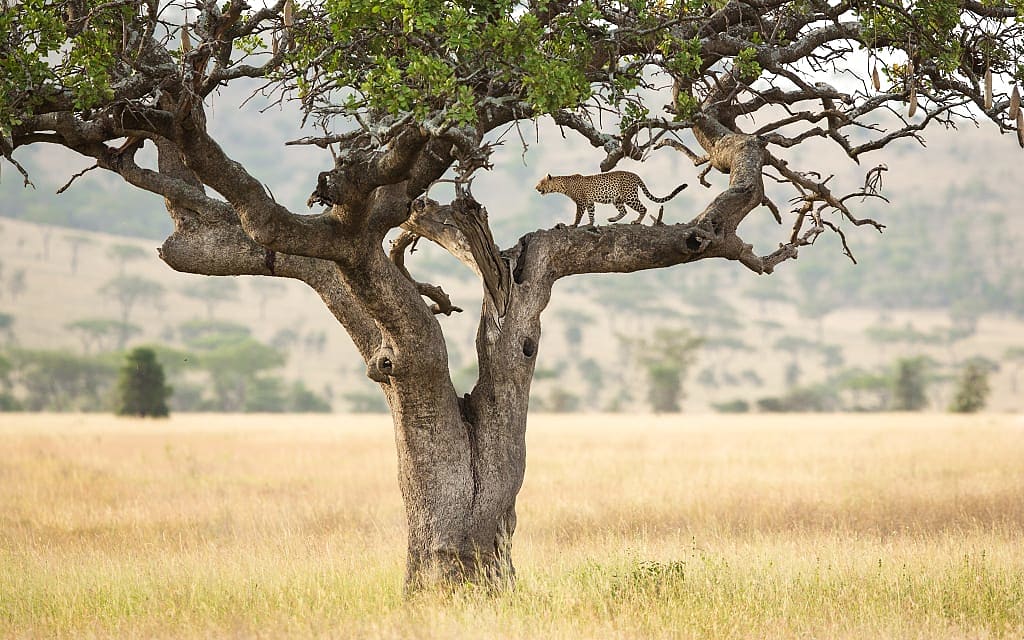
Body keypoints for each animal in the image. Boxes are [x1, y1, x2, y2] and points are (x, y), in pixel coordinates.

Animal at [534, 171, 688, 227]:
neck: (562, 185)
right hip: (617, 199)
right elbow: (591, 213)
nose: (535, 188)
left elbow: (578, 215)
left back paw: (637, 221)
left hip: (629, 196)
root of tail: (635, 175)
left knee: (643, 208)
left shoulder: (581, 202)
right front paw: (591, 224)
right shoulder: (590, 202)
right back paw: (612, 220)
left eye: (541, 182)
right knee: (624, 211)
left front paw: (574, 225)